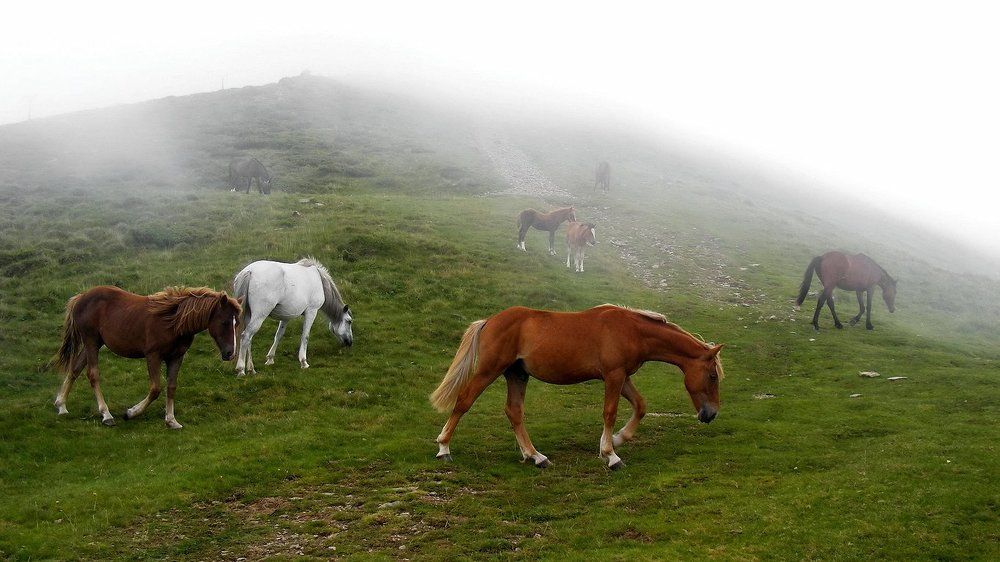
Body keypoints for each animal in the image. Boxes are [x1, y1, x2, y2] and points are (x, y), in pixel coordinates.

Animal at [52, 286, 242, 429]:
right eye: (225, 322)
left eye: (237, 323)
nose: (230, 353)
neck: (173, 322)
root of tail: (81, 297)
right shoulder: (153, 356)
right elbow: (155, 388)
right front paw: (131, 412)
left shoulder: (176, 357)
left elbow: (171, 387)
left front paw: (171, 420)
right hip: (91, 342)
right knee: (92, 374)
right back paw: (106, 415)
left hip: (94, 343)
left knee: (75, 369)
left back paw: (61, 405)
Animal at [430, 304, 724, 470]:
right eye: (712, 376)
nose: (711, 414)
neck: (632, 330)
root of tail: (490, 321)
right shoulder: (614, 376)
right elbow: (609, 413)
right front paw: (611, 455)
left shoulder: (622, 376)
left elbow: (640, 406)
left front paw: (618, 439)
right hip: (489, 370)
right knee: (464, 400)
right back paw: (444, 448)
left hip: (517, 375)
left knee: (514, 412)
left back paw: (535, 456)